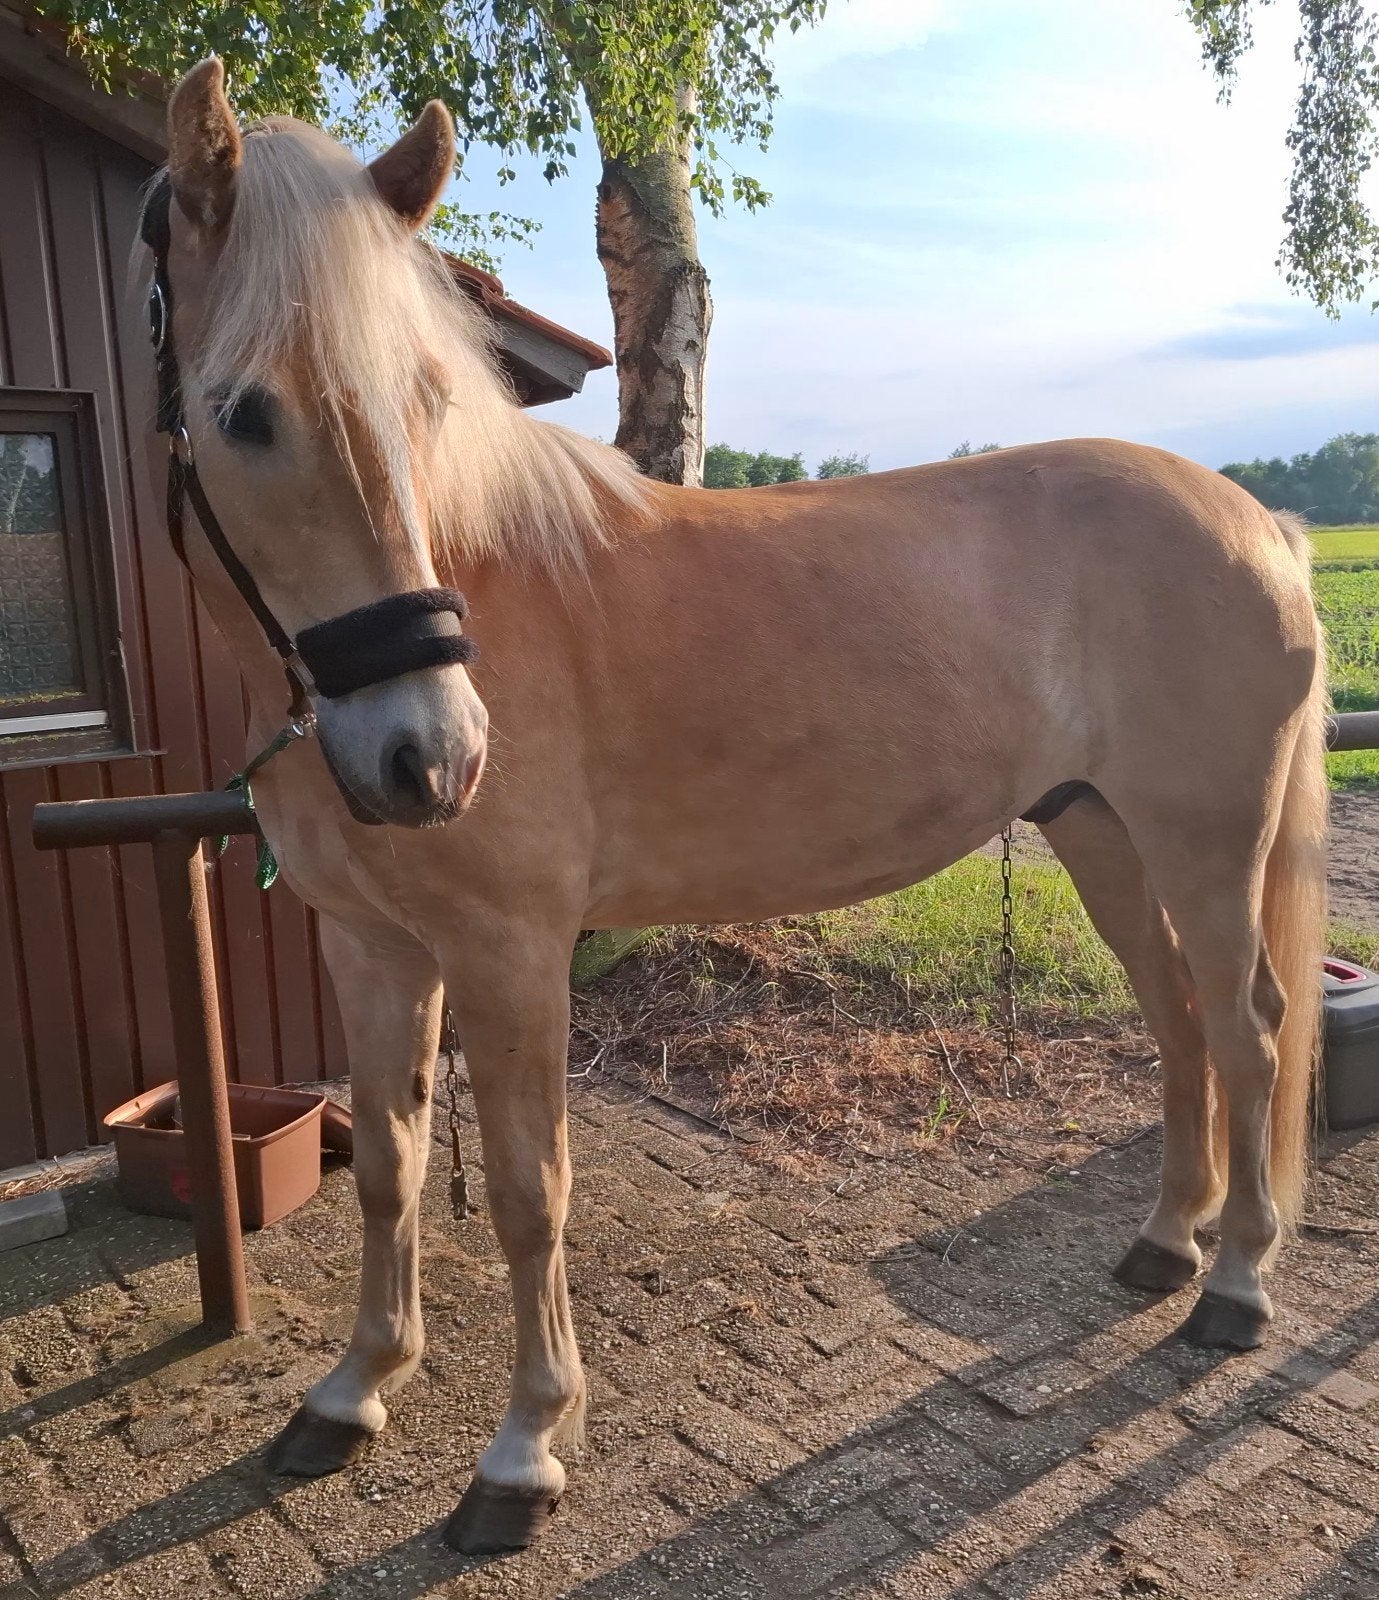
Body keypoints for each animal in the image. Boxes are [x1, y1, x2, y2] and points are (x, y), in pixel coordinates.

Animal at [145, 58, 1327, 1555]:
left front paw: (523, 1452)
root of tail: (1256, 521)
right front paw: (353, 1391)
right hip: (1098, 833)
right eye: (244, 411)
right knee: (1178, 1028)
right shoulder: (370, 946)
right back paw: (1164, 1246)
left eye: (428, 403)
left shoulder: (509, 954)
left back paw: (1232, 1288)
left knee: (1246, 1032)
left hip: (1203, 844)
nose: (430, 758)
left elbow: (528, 1195)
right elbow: (391, 1166)